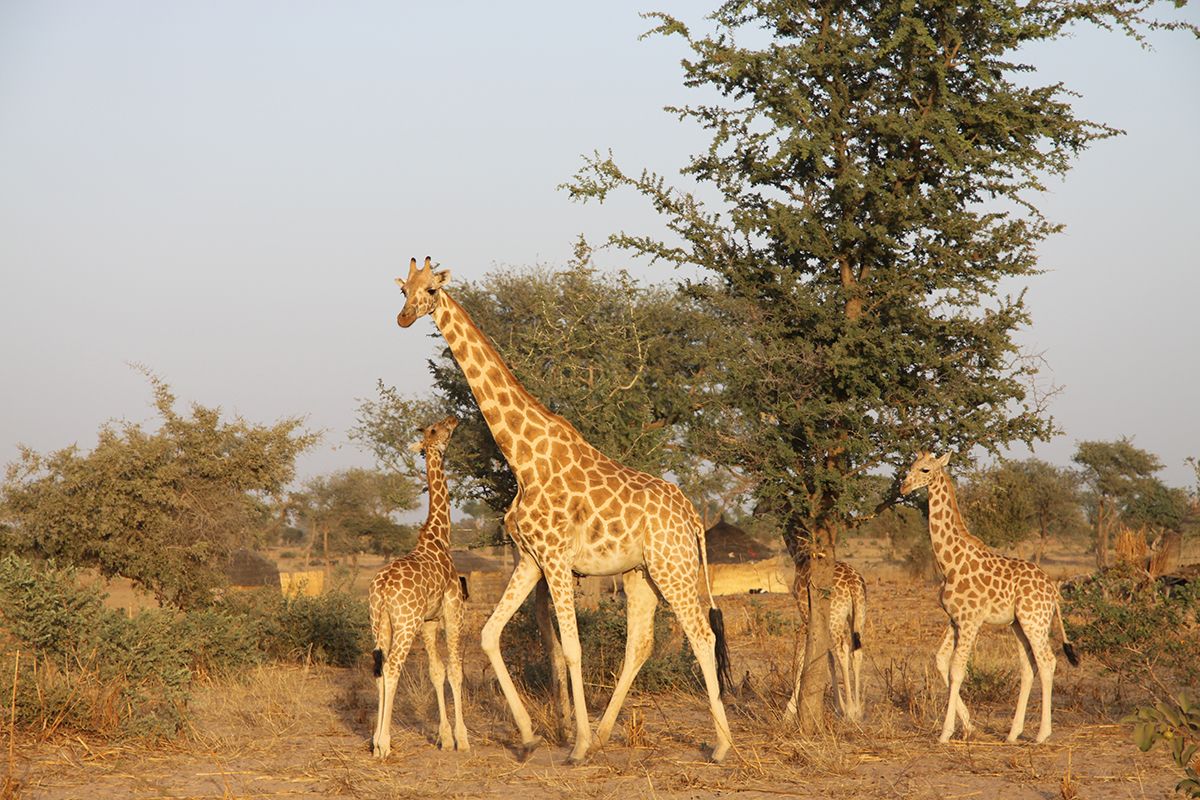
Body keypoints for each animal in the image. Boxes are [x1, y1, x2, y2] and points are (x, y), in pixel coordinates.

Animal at [369, 417, 468, 762]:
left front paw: (445, 738)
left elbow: (436, 671)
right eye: (437, 430)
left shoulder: (428, 621)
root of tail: (382, 588)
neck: (440, 538)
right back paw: (384, 744)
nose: (454, 419)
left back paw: (375, 741)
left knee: (379, 671)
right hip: (405, 623)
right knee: (392, 668)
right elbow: (454, 670)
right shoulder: (453, 611)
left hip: (380, 624)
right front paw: (463, 739)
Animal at [396, 256, 729, 762]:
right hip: (641, 573)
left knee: (702, 634)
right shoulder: (530, 558)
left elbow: (571, 648)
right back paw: (610, 733)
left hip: (674, 564)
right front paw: (531, 736)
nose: (404, 317)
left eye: (431, 289)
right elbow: (490, 634)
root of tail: (692, 516)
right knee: (640, 643)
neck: (522, 457)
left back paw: (722, 745)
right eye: (403, 291)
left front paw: (577, 746)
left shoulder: (555, 558)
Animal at [787, 561, 864, 724]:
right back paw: (858, 710)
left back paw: (850, 711)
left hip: (835, 620)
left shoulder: (808, 617)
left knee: (843, 650)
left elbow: (820, 656)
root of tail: (852, 583)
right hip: (858, 615)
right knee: (856, 652)